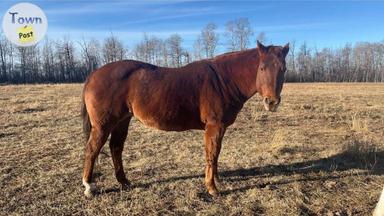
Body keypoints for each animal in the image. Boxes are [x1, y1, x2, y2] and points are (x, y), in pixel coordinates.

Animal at [82, 41, 290, 197]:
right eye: (262, 68)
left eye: (284, 69)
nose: (271, 102)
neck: (223, 79)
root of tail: (93, 74)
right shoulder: (214, 126)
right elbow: (211, 154)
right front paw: (212, 188)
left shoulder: (220, 128)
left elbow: (216, 153)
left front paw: (216, 179)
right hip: (103, 125)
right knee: (92, 149)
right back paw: (89, 187)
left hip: (122, 121)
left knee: (116, 148)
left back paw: (124, 182)